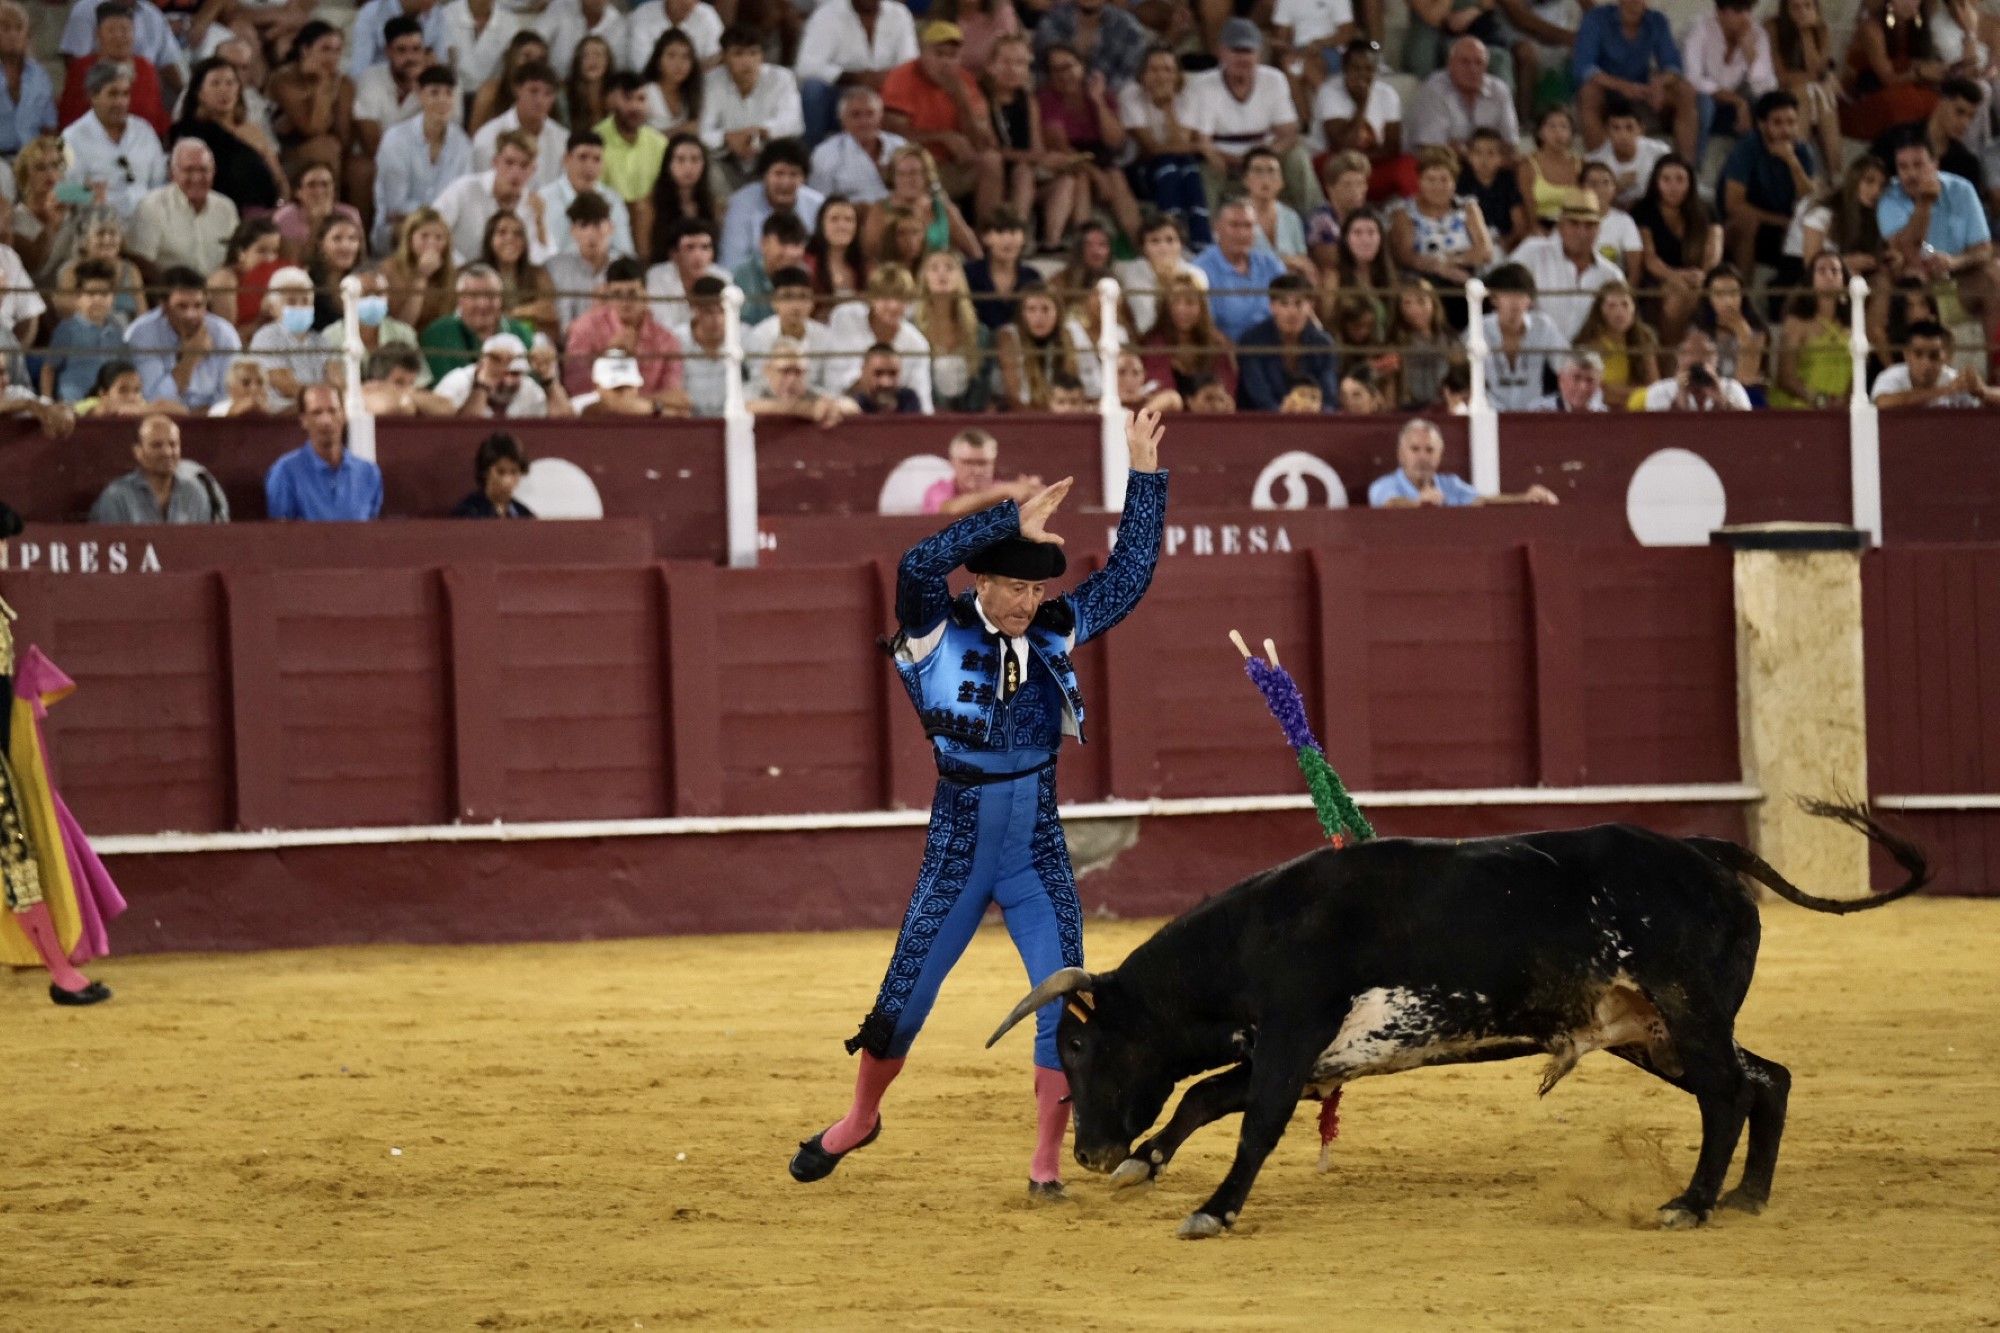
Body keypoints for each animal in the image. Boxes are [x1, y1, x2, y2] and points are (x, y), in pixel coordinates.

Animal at [984, 800, 1920, 1232]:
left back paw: (1689, 1203)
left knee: (1728, 1093)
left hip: (1687, 1015)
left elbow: (1251, 1121)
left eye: (1080, 1042)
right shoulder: (1312, 1053)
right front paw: (1145, 1163)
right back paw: (1746, 1196)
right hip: (1656, 1034)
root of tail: (1701, 850)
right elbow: (1206, 1095)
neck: (1259, 933)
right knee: (1766, 1078)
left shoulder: (1292, 1038)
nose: (1089, 1152)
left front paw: (1212, 1209)